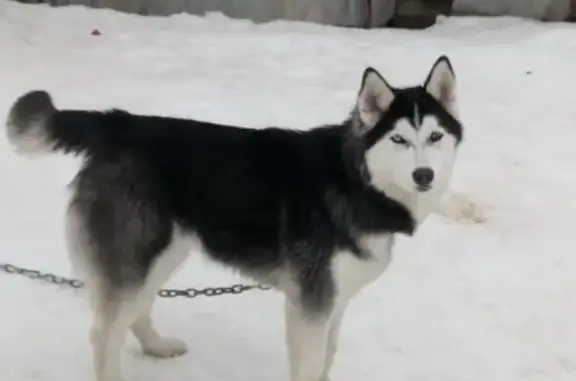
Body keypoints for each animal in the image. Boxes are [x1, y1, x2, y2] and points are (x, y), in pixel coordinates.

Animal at [4, 55, 462, 380]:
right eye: (398, 139)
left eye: (435, 136)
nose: (424, 175)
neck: (356, 182)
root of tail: (120, 123)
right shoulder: (312, 303)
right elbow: (312, 364)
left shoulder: (333, 300)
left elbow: (327, 359)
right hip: (138, 251)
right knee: (104, 334)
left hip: (165, 250)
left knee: (137, 309)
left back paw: (157, 346)